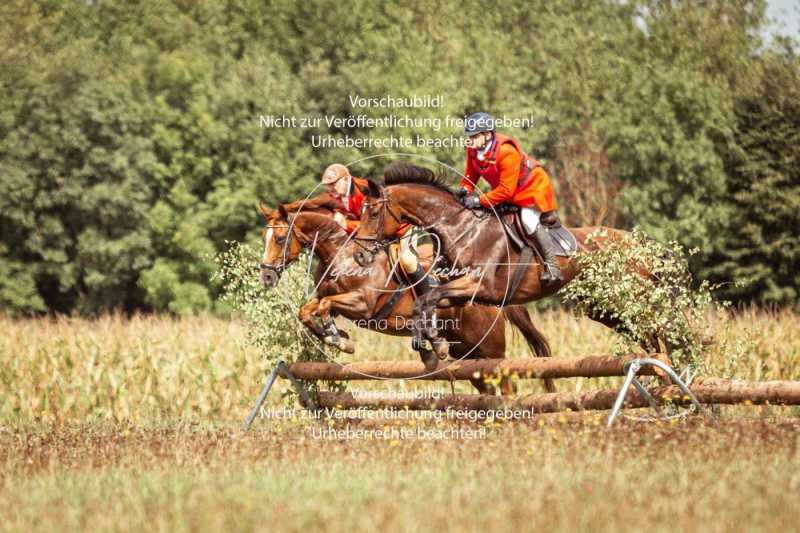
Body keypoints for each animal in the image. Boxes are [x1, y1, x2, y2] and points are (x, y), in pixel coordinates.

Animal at [258, 193, 556, 392]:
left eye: (280, 239)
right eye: (264, 238)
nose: (266, 276)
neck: (340, 252)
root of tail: (495, 292)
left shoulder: (363, 304)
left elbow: (325, 306)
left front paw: (339, 339)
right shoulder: (327, 298)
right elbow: (307, 310)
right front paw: (337, 336)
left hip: (489, 346)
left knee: (505, 381)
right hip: (466, 350)